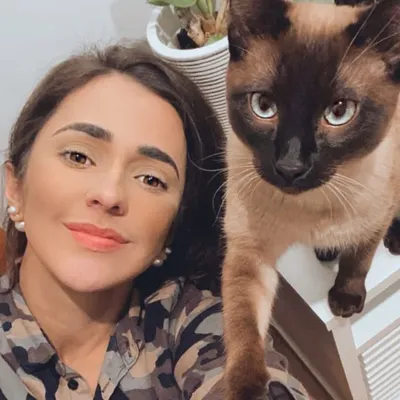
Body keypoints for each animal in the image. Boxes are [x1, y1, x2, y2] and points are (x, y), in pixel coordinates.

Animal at [221, 0, 400, 399]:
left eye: (339, 112)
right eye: (263, 106)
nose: (290, 166)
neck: (309, 209)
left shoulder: (374, 218)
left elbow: (358, 260)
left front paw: (345, 301)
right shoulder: (249, 251)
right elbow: (242, 322)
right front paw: (248, 387)